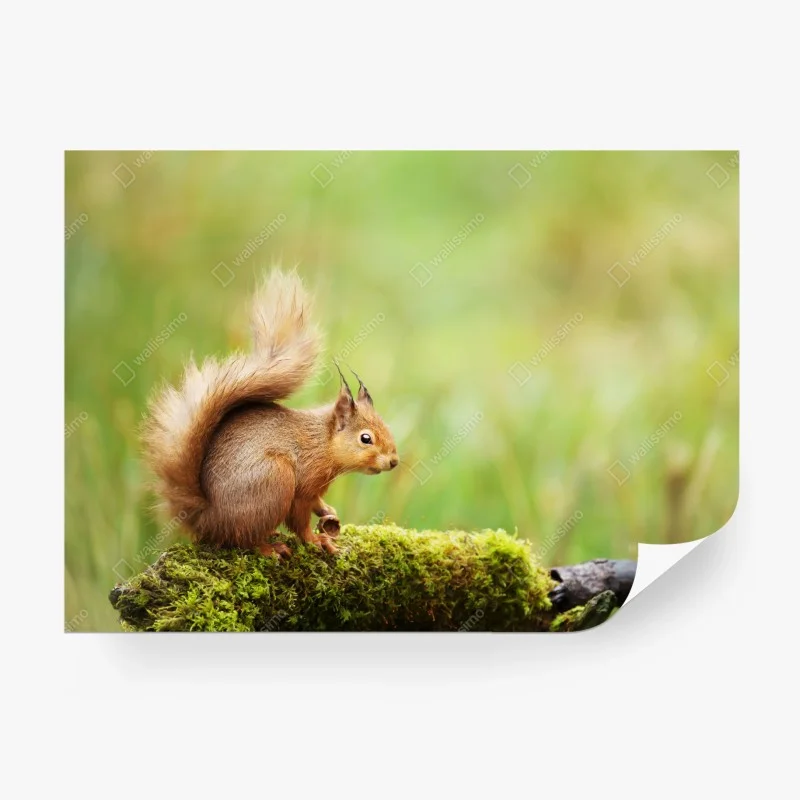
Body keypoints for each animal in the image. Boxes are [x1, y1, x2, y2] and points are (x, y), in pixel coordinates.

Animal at [142, 269, 398, 558]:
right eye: (366, 438)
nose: (393, 461)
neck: (323, 443)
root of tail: (207, 519)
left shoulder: (315, 489)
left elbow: (316, 503)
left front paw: (327, 511)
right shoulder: (303, 485)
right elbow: (299, 519)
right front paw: (316, 540)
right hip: (275, 479)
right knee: (243, 539)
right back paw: (270, 548)